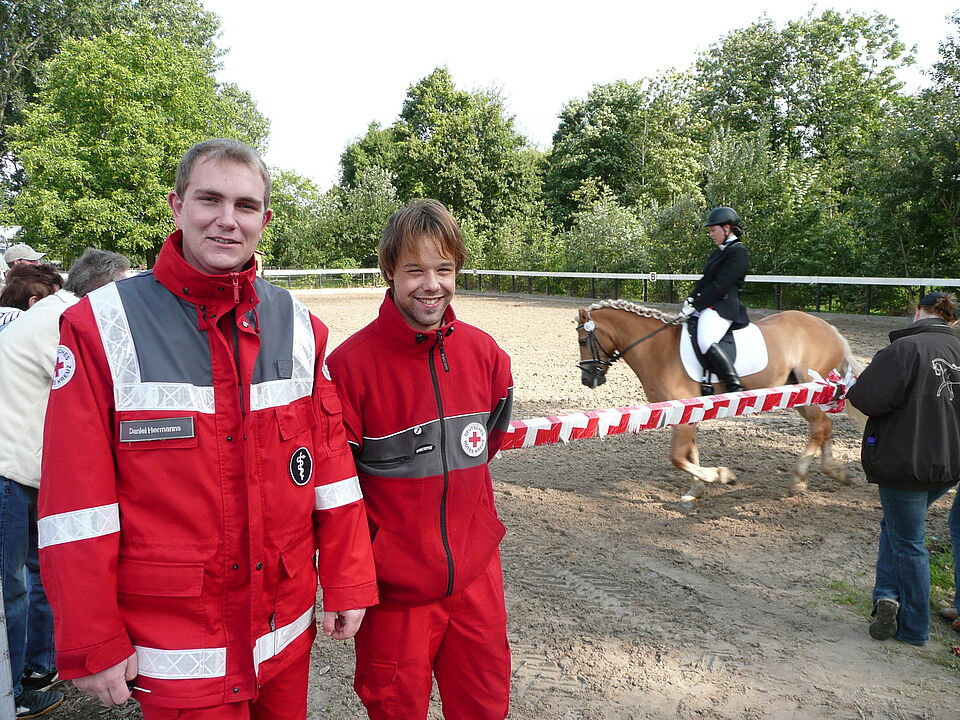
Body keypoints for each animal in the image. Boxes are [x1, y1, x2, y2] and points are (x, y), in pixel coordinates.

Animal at [575, 299, 866, 505]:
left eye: (582, 340)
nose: (587, 379)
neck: (657, 349)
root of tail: (830, 329)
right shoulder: (687, 414)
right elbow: (689, 453)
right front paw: (696, 491)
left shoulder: (683, 416)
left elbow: (677, 457)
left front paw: (721, 476)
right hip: (801, 395)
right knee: (824, 426)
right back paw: (831, 472)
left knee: (820, 427)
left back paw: (799, 477)